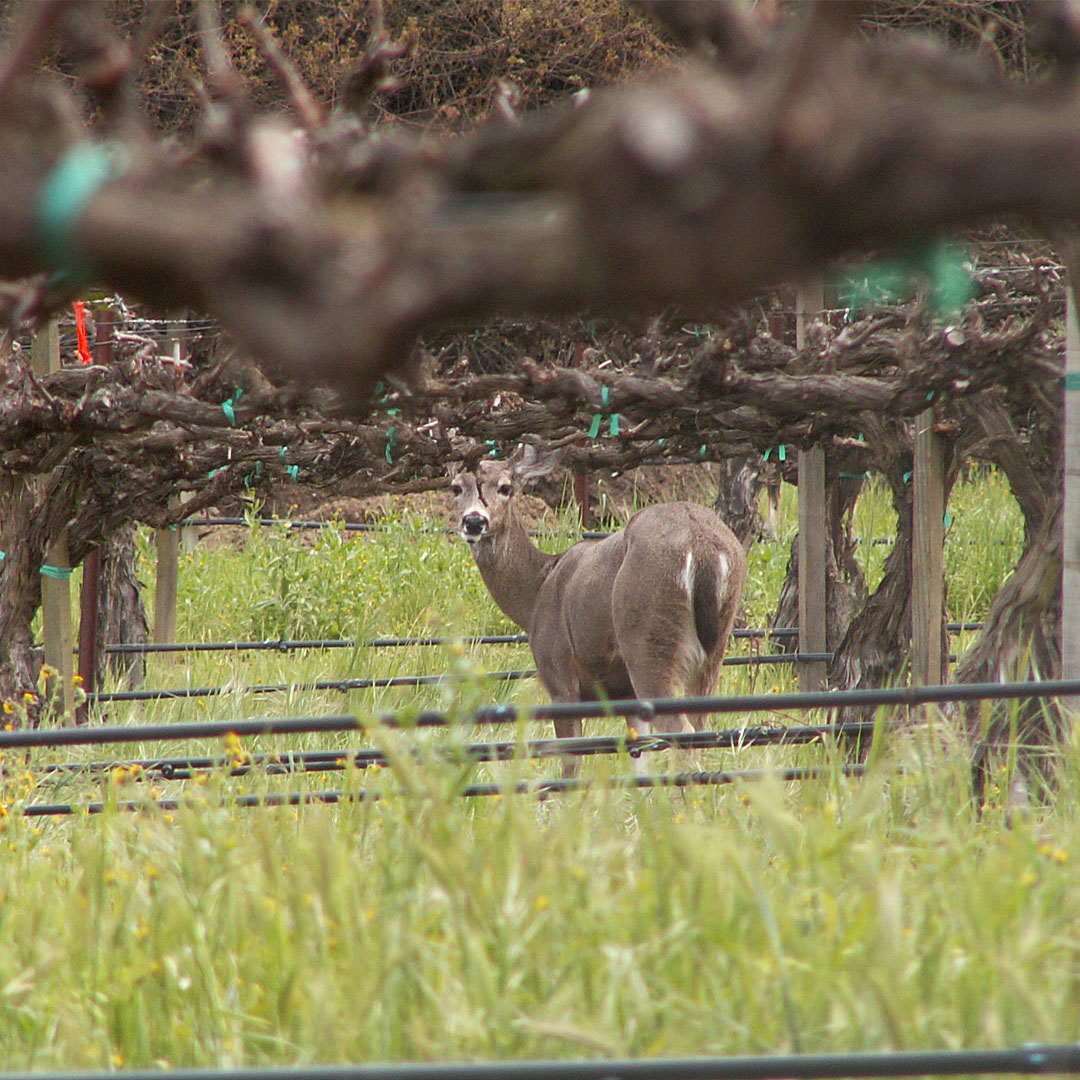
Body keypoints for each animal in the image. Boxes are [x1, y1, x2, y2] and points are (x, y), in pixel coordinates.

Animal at [444, 442, 743, 773]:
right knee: (699, 724)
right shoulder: (626, 692)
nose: (474, 521)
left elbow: (571, 760)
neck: (536, 595)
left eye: (506, 487)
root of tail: (702, 548)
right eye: (456, 487)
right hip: (714, 647)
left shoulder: (558, 672)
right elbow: (639, 754)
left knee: (680, 729)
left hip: (647, 637)